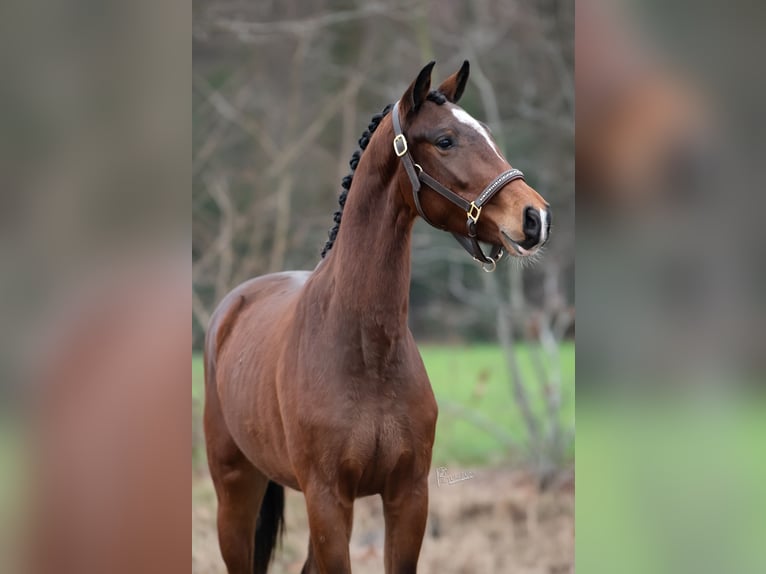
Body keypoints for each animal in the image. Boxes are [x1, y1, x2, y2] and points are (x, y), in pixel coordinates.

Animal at [204, 60, 550, 574]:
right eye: (445, 140)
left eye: (487, 133)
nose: (535, 218)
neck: (366, 352)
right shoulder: (328, 499)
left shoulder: (408, 496)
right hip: (235, 491)